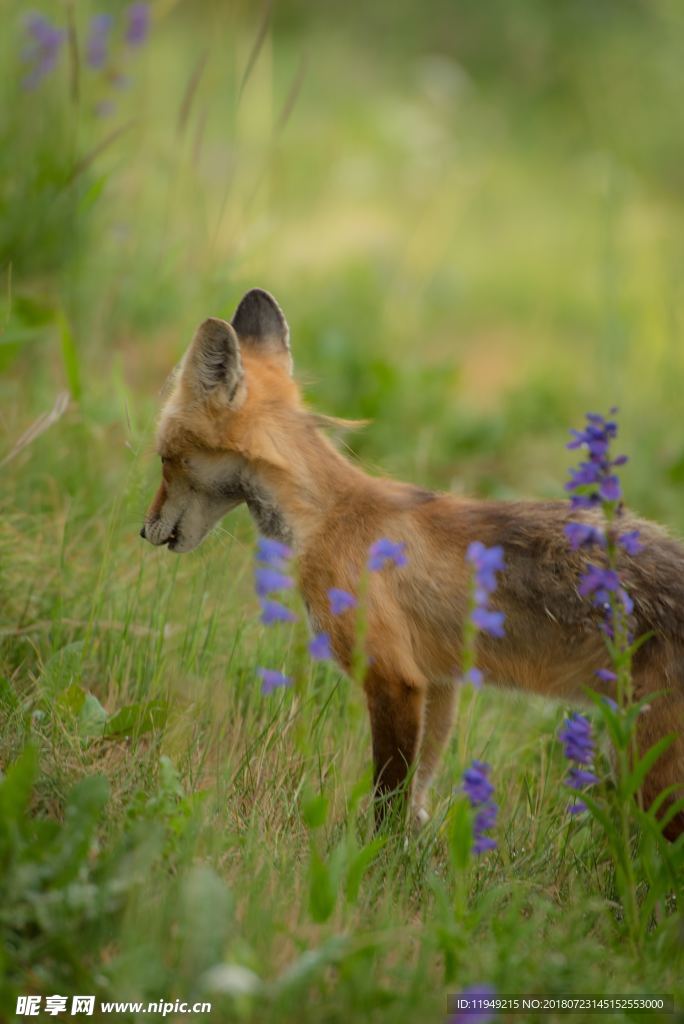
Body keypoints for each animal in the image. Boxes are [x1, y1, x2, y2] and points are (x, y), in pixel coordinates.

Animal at [140, 288, 684, 839]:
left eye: (166, 458)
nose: (144, 530)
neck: (328, 515)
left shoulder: (393, 678)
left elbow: (389, 798)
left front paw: (371, 852)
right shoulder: (440, 684)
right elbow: (419, 793)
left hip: (654, 776)